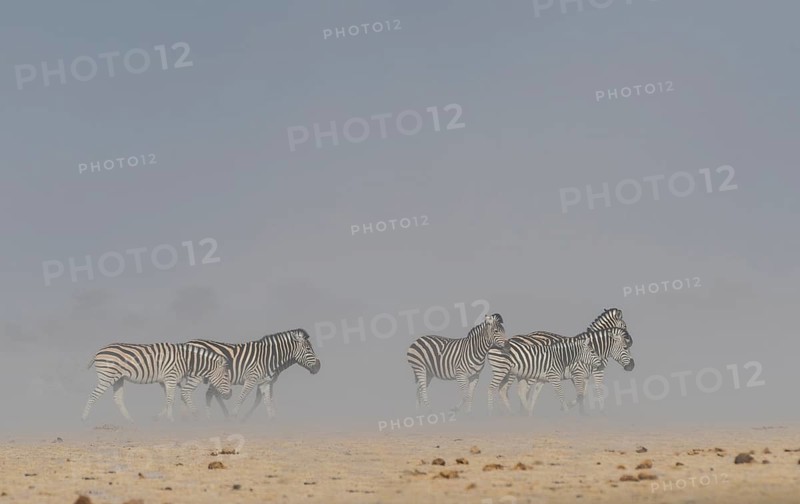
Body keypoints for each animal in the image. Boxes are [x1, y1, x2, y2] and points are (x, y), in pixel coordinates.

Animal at [82, 342, 232, 423]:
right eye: (226, 375)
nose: (230, 394)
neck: (185, 360)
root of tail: (99, 351)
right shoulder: (171, 378)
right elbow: (170, 399)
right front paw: (171, 419)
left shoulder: (164, 381)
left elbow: (169, 399)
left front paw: (160, 417)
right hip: (107, 376)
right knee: (94, 395)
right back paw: (84, 418)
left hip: (118, 378)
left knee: (117, 399)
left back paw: (130, 420)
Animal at [177, 328, 321, 420]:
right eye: (308, 349)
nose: (319, 367)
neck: (269, 357)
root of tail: (187, 343)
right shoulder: (252, 378)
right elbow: (244, 397)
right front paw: (236, 416)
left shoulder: (265, 381)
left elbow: (266, 400)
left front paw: (272, 418)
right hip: (197, 376)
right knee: (186, 392)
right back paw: (196, 416)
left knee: (205, 394)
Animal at [487, 307, 630, 415]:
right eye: (624, 325)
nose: (631, 341)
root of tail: (513, 338)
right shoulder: (582, 372)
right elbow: (584, 393)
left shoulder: (583, 375)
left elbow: (582, 393)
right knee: (510, 390)